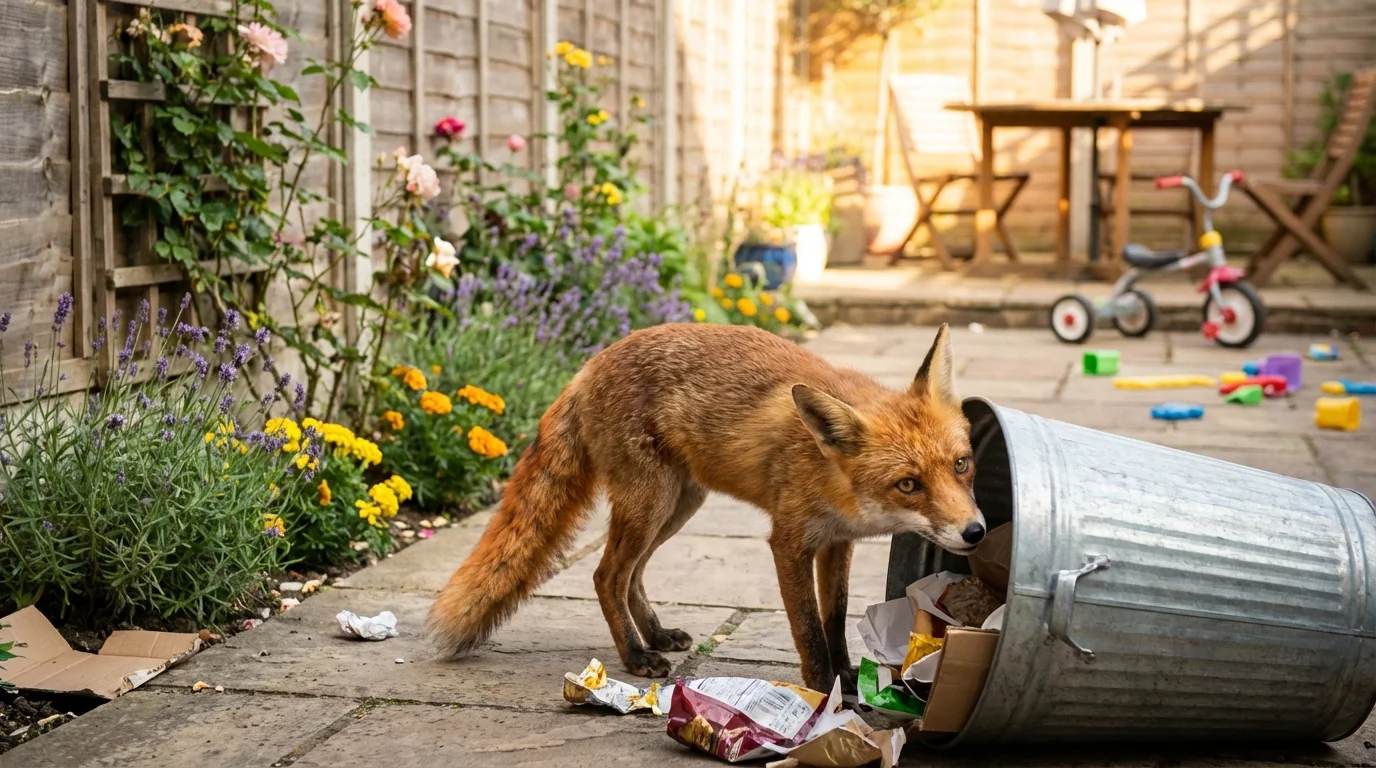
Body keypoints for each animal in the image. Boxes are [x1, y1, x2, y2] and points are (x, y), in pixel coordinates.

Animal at [426, 321, 985, 693]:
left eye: (962, 465)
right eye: (909, 484)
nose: (975, 532)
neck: (832, 476)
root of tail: (588, 366)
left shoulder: (837, 544)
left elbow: (835, 617)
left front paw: (848, 673)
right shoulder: (789, 542)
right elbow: (808, 627)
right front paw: (823, 689)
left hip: (677, 506)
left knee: (632, 576)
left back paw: (654, 634)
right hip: (650, 504)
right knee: (606, 576)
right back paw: (636, 655)